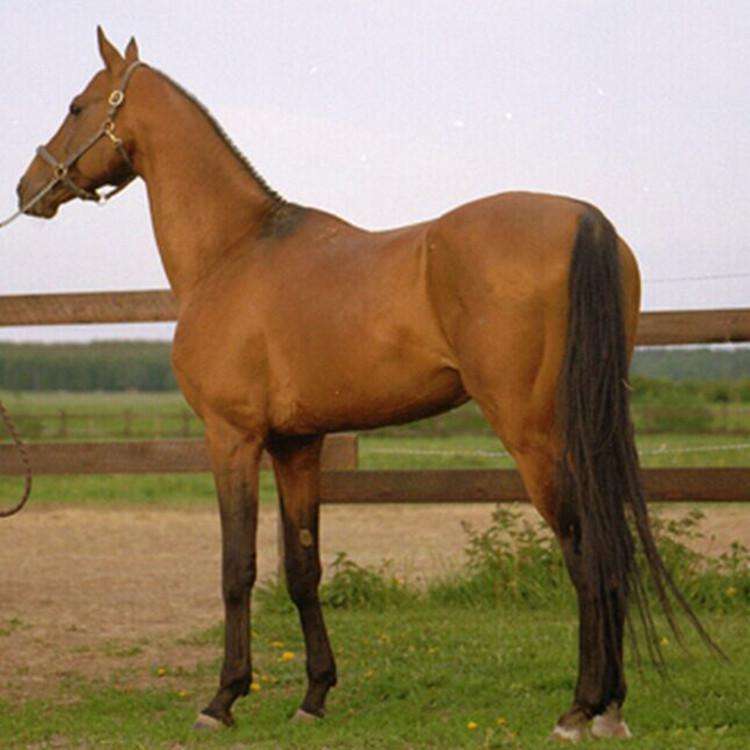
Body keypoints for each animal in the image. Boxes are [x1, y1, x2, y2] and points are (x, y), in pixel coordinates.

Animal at [13, 28, 714, 742]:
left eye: (76, 106)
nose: (28, 187)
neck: (234, 251)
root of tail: (586, 220)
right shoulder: (298, 444)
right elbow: (302, 567)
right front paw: (314, 693)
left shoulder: (232, 437)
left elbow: (237, 568)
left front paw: (223, 698)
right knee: (611, 543)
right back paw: (612, 706)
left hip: (536, 437)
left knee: (585, 548)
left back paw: (582, 707)